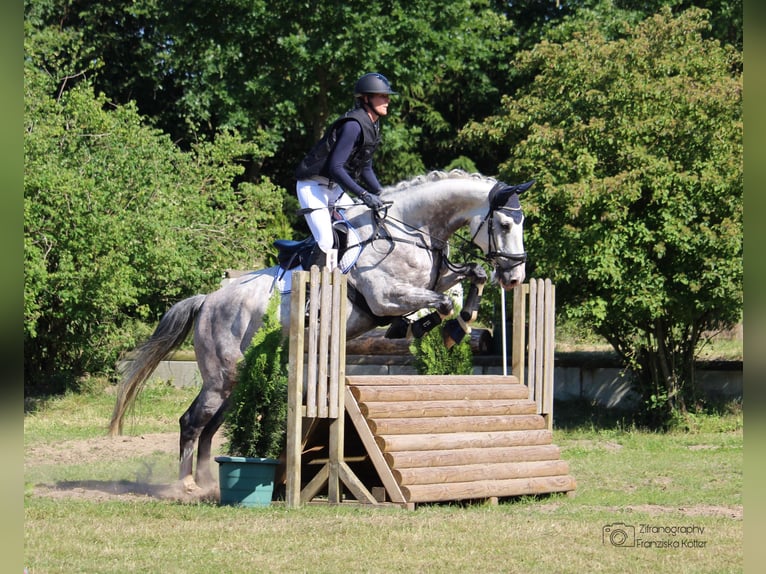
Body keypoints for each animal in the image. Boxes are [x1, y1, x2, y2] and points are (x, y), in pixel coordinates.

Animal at [109, 169, 536, 492]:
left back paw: (207, 483)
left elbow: (470, 276)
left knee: (210, 425)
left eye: (521, 224)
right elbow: (440, 302)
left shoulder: (436, 277)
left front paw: (462, 322)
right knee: (192, 421)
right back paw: (185, 486)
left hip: (237, 379)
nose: (515, 278)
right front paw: (433, 329)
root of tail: (208, 300)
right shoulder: (385, 297)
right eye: (503, 224)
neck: (412, 230)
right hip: (221, 376)